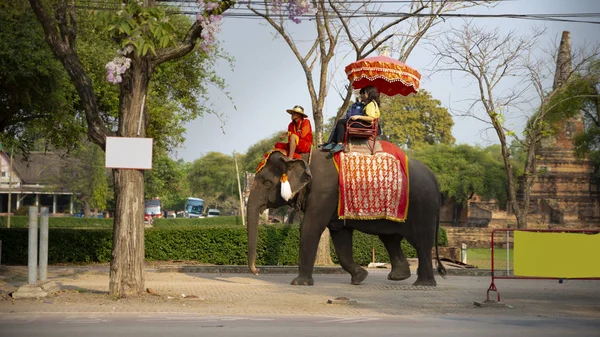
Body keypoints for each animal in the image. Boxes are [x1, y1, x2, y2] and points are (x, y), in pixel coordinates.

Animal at [245, 144, 446, 286]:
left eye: (265, 182)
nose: (257, 271)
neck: (302, 156)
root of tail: (435, 178)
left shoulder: (324, 193)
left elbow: (311, 227)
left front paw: (298, 283)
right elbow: (339, 234)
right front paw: (360, 277)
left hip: (423, 206)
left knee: (421, 242)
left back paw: (423, 284)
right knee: (391, 238)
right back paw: (398, 277)